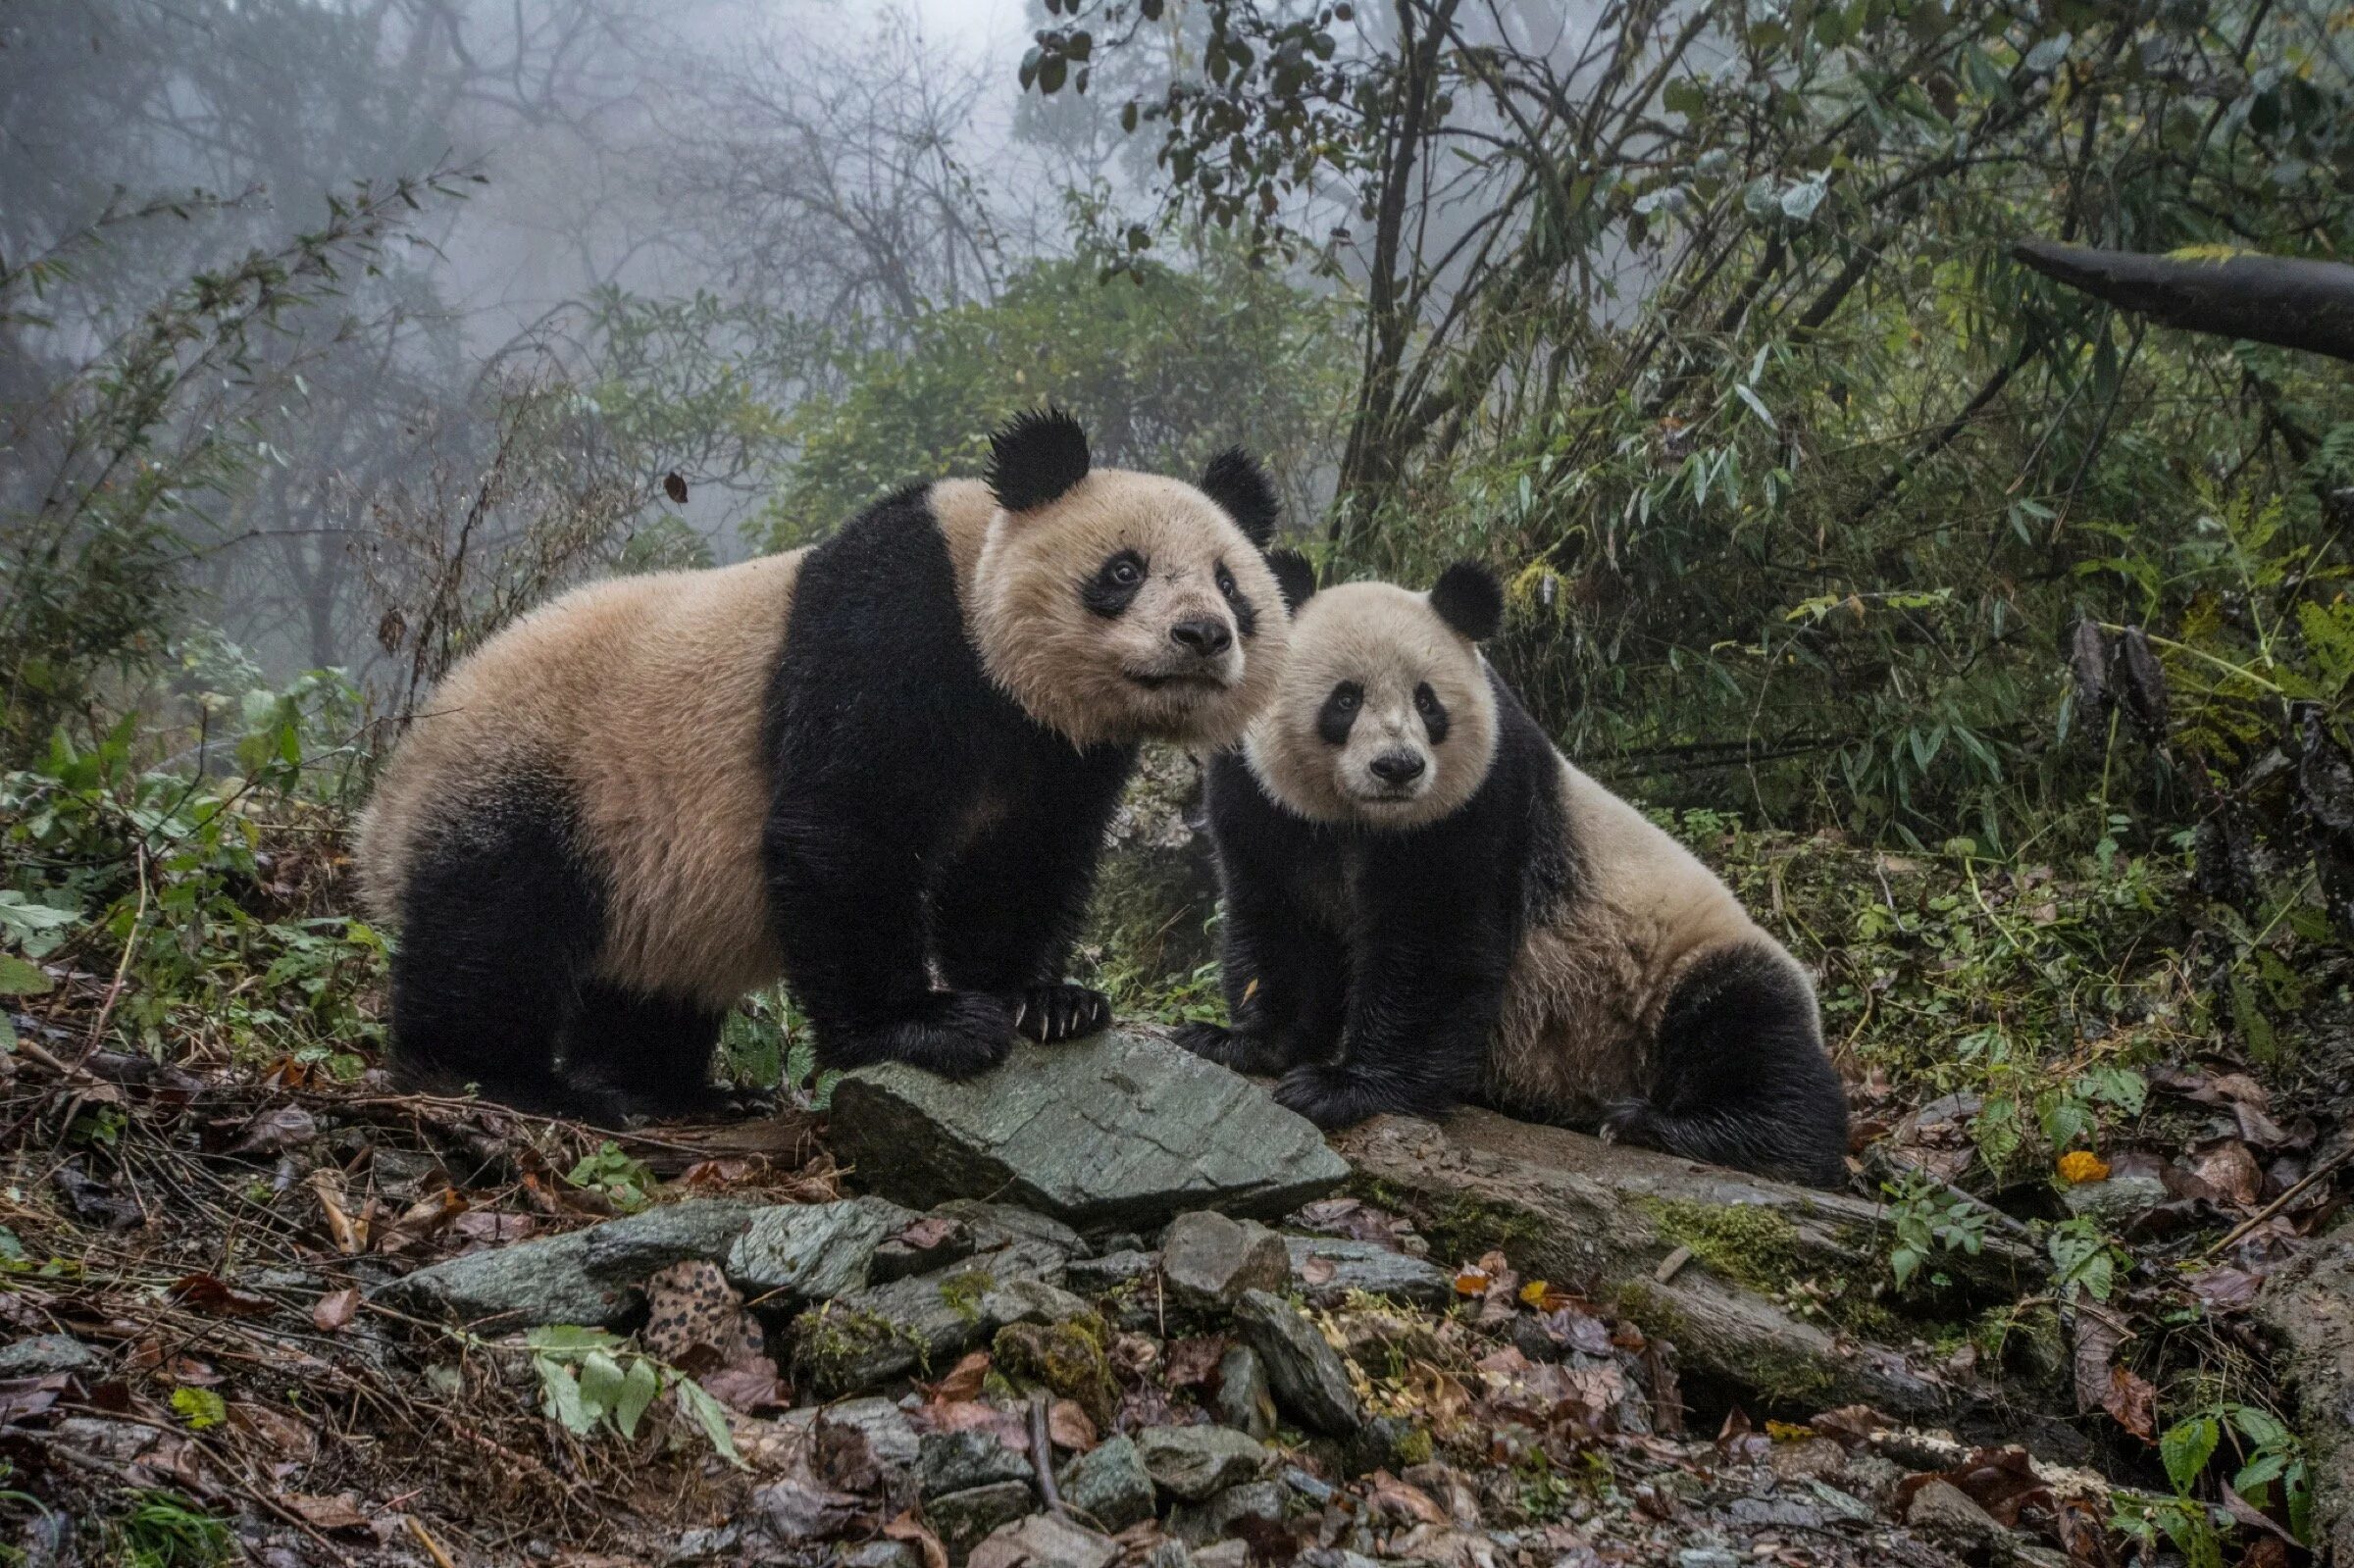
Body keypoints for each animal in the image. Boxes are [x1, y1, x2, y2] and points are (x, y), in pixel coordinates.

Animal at [357, 409, 1299, 1116]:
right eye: (1124, 570)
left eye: (1230, 584)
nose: (1202, 634)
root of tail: (388, 798)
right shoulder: (891, 624)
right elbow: (848, 825)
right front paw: (924, 1024)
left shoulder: (1059, 746)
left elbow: (1019, 862)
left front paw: (1049, 1002)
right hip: (542, 774)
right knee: (496, 929)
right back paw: (502, 1076)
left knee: (646, 983)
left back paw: (668, 1088)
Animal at [1186, 555, 1845, 1177]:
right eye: (1345, 699)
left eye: (1428, 702)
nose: (1398, 767)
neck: (1361, 819)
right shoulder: (1262, 801)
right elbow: (1282, 923)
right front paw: (1238, 1042)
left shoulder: (1483, 795)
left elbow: (1433, 942)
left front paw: (1344, 1087)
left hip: (1683, 964)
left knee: (1751, 1031)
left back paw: (1668, 1125)